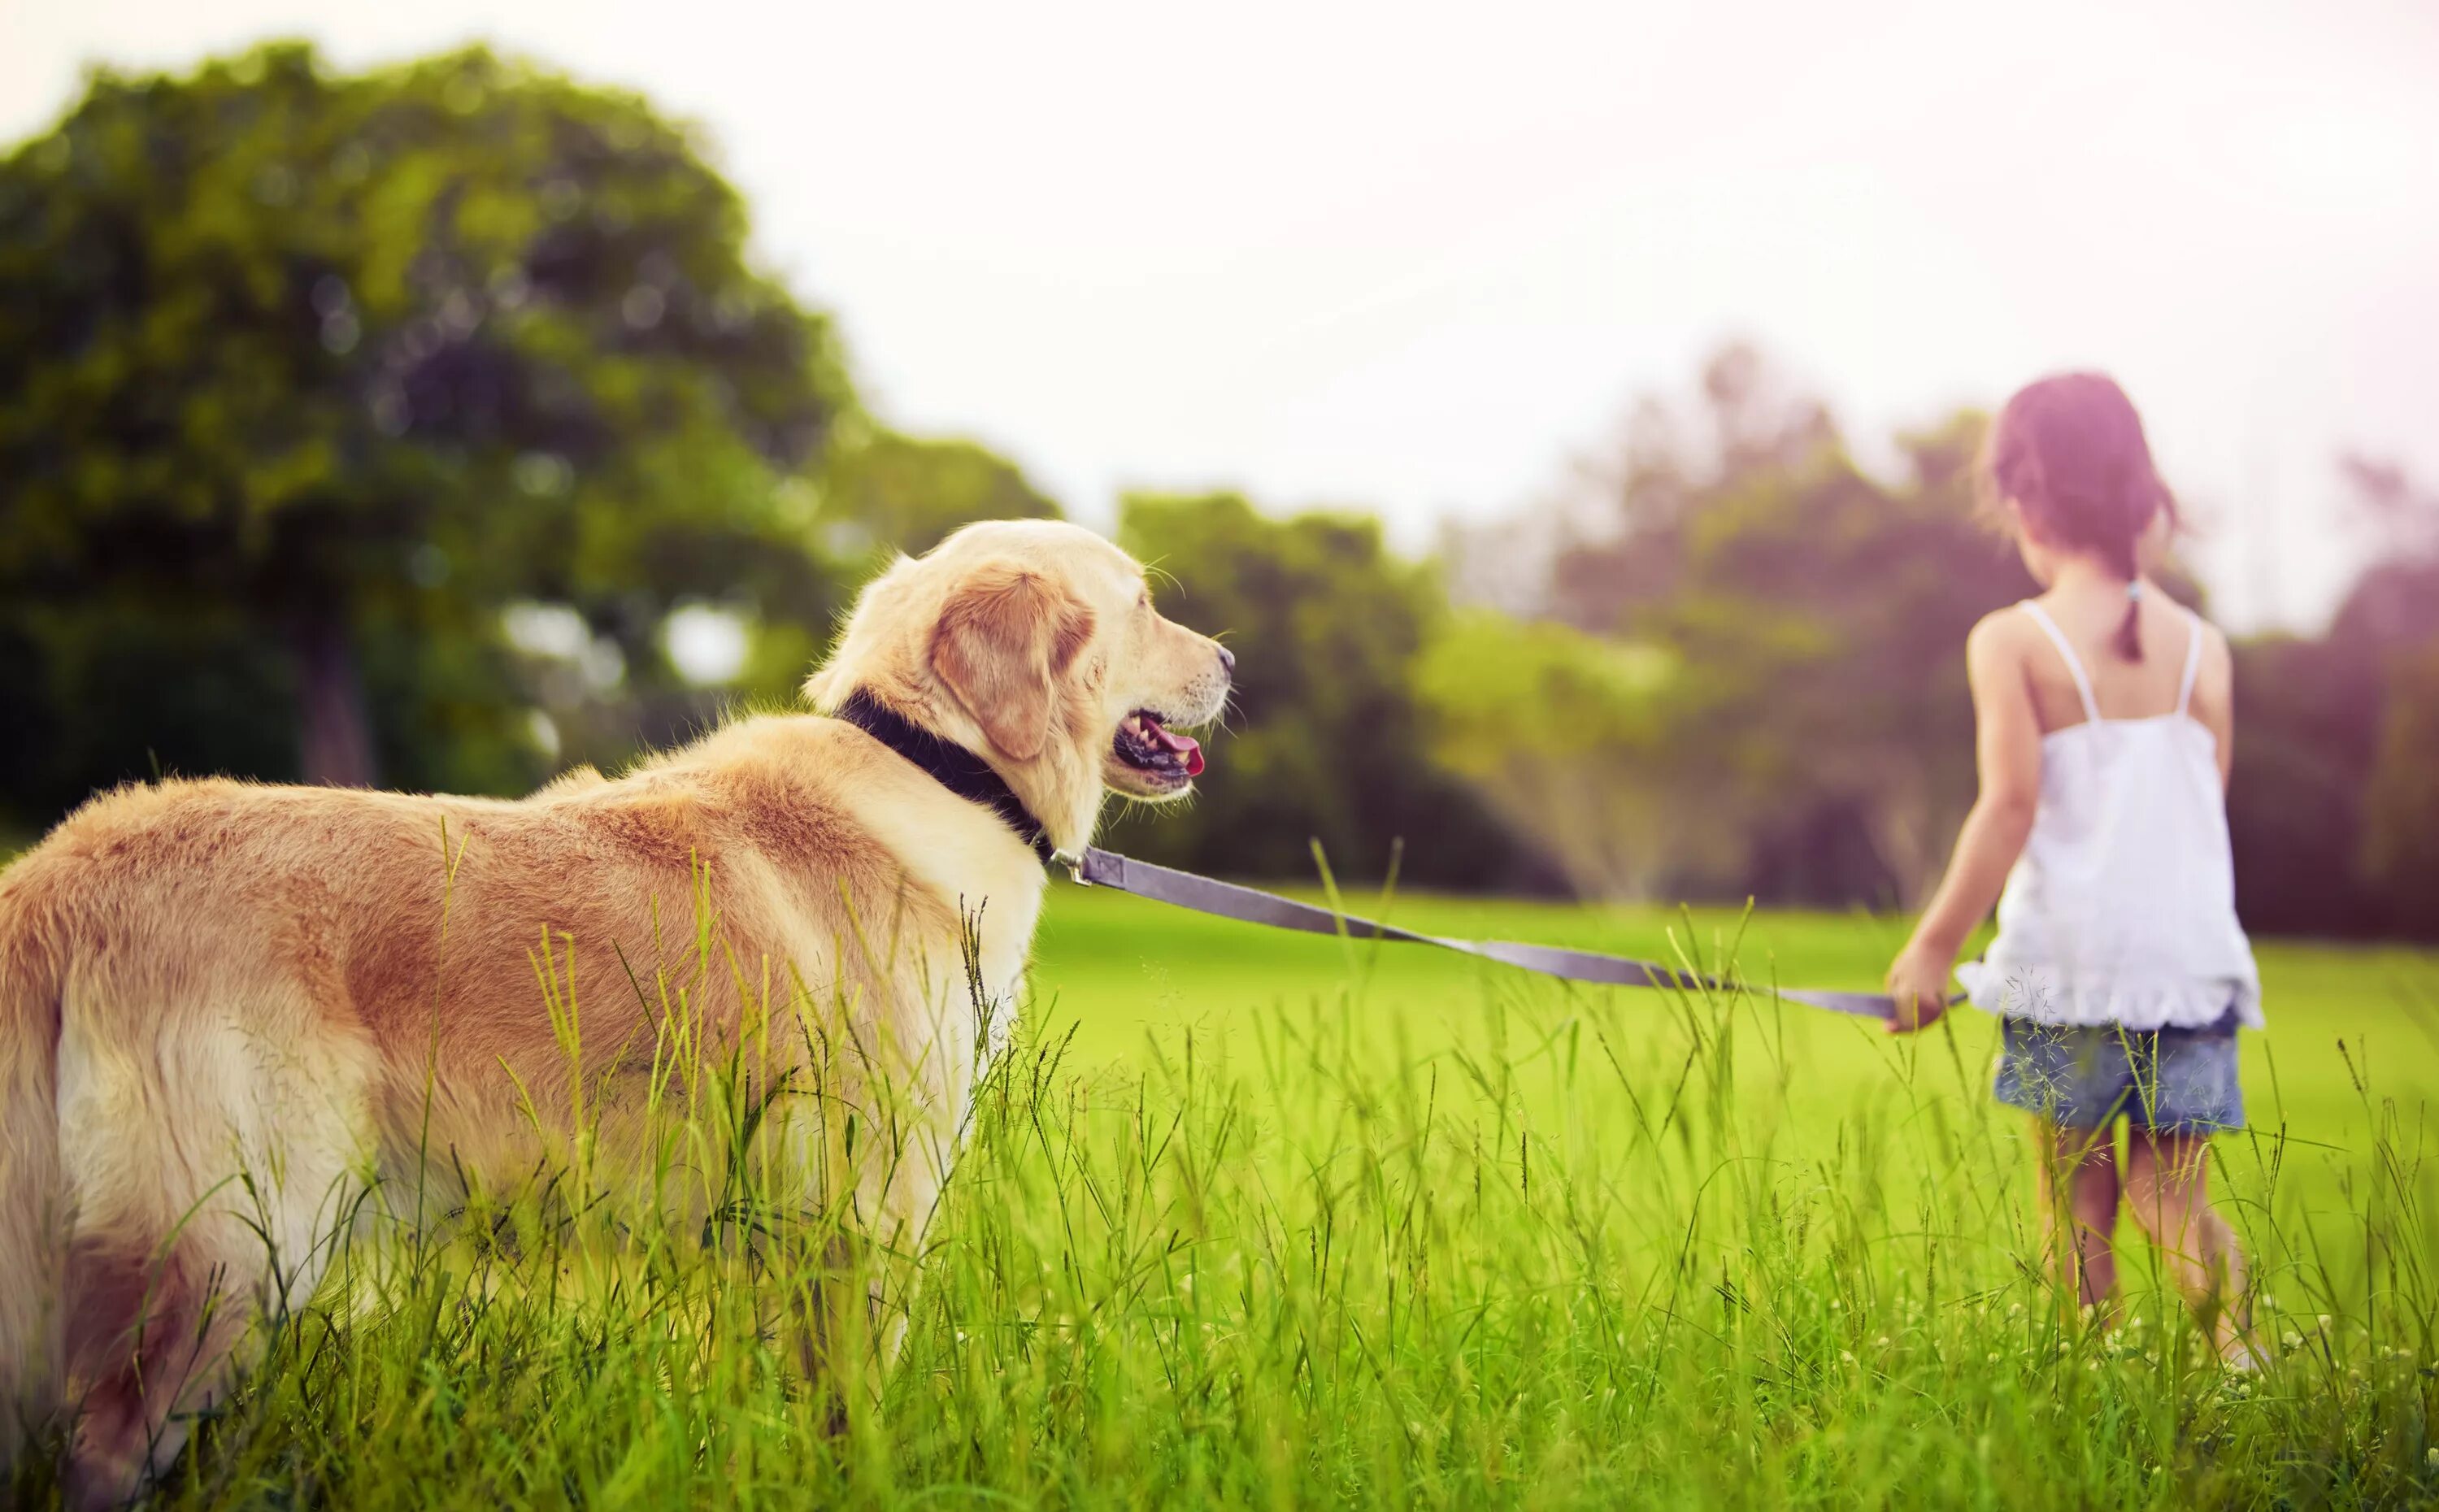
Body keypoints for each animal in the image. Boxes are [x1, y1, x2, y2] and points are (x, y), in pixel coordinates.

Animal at [0, 517, 1220, 1502]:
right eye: (1143, 602)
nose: (1232, 660)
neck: (940, 766)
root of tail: (57, 873)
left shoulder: (773, 1237)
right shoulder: (868, 1215)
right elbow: (854, 1413)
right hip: (227, 1249)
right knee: (102, 1445)